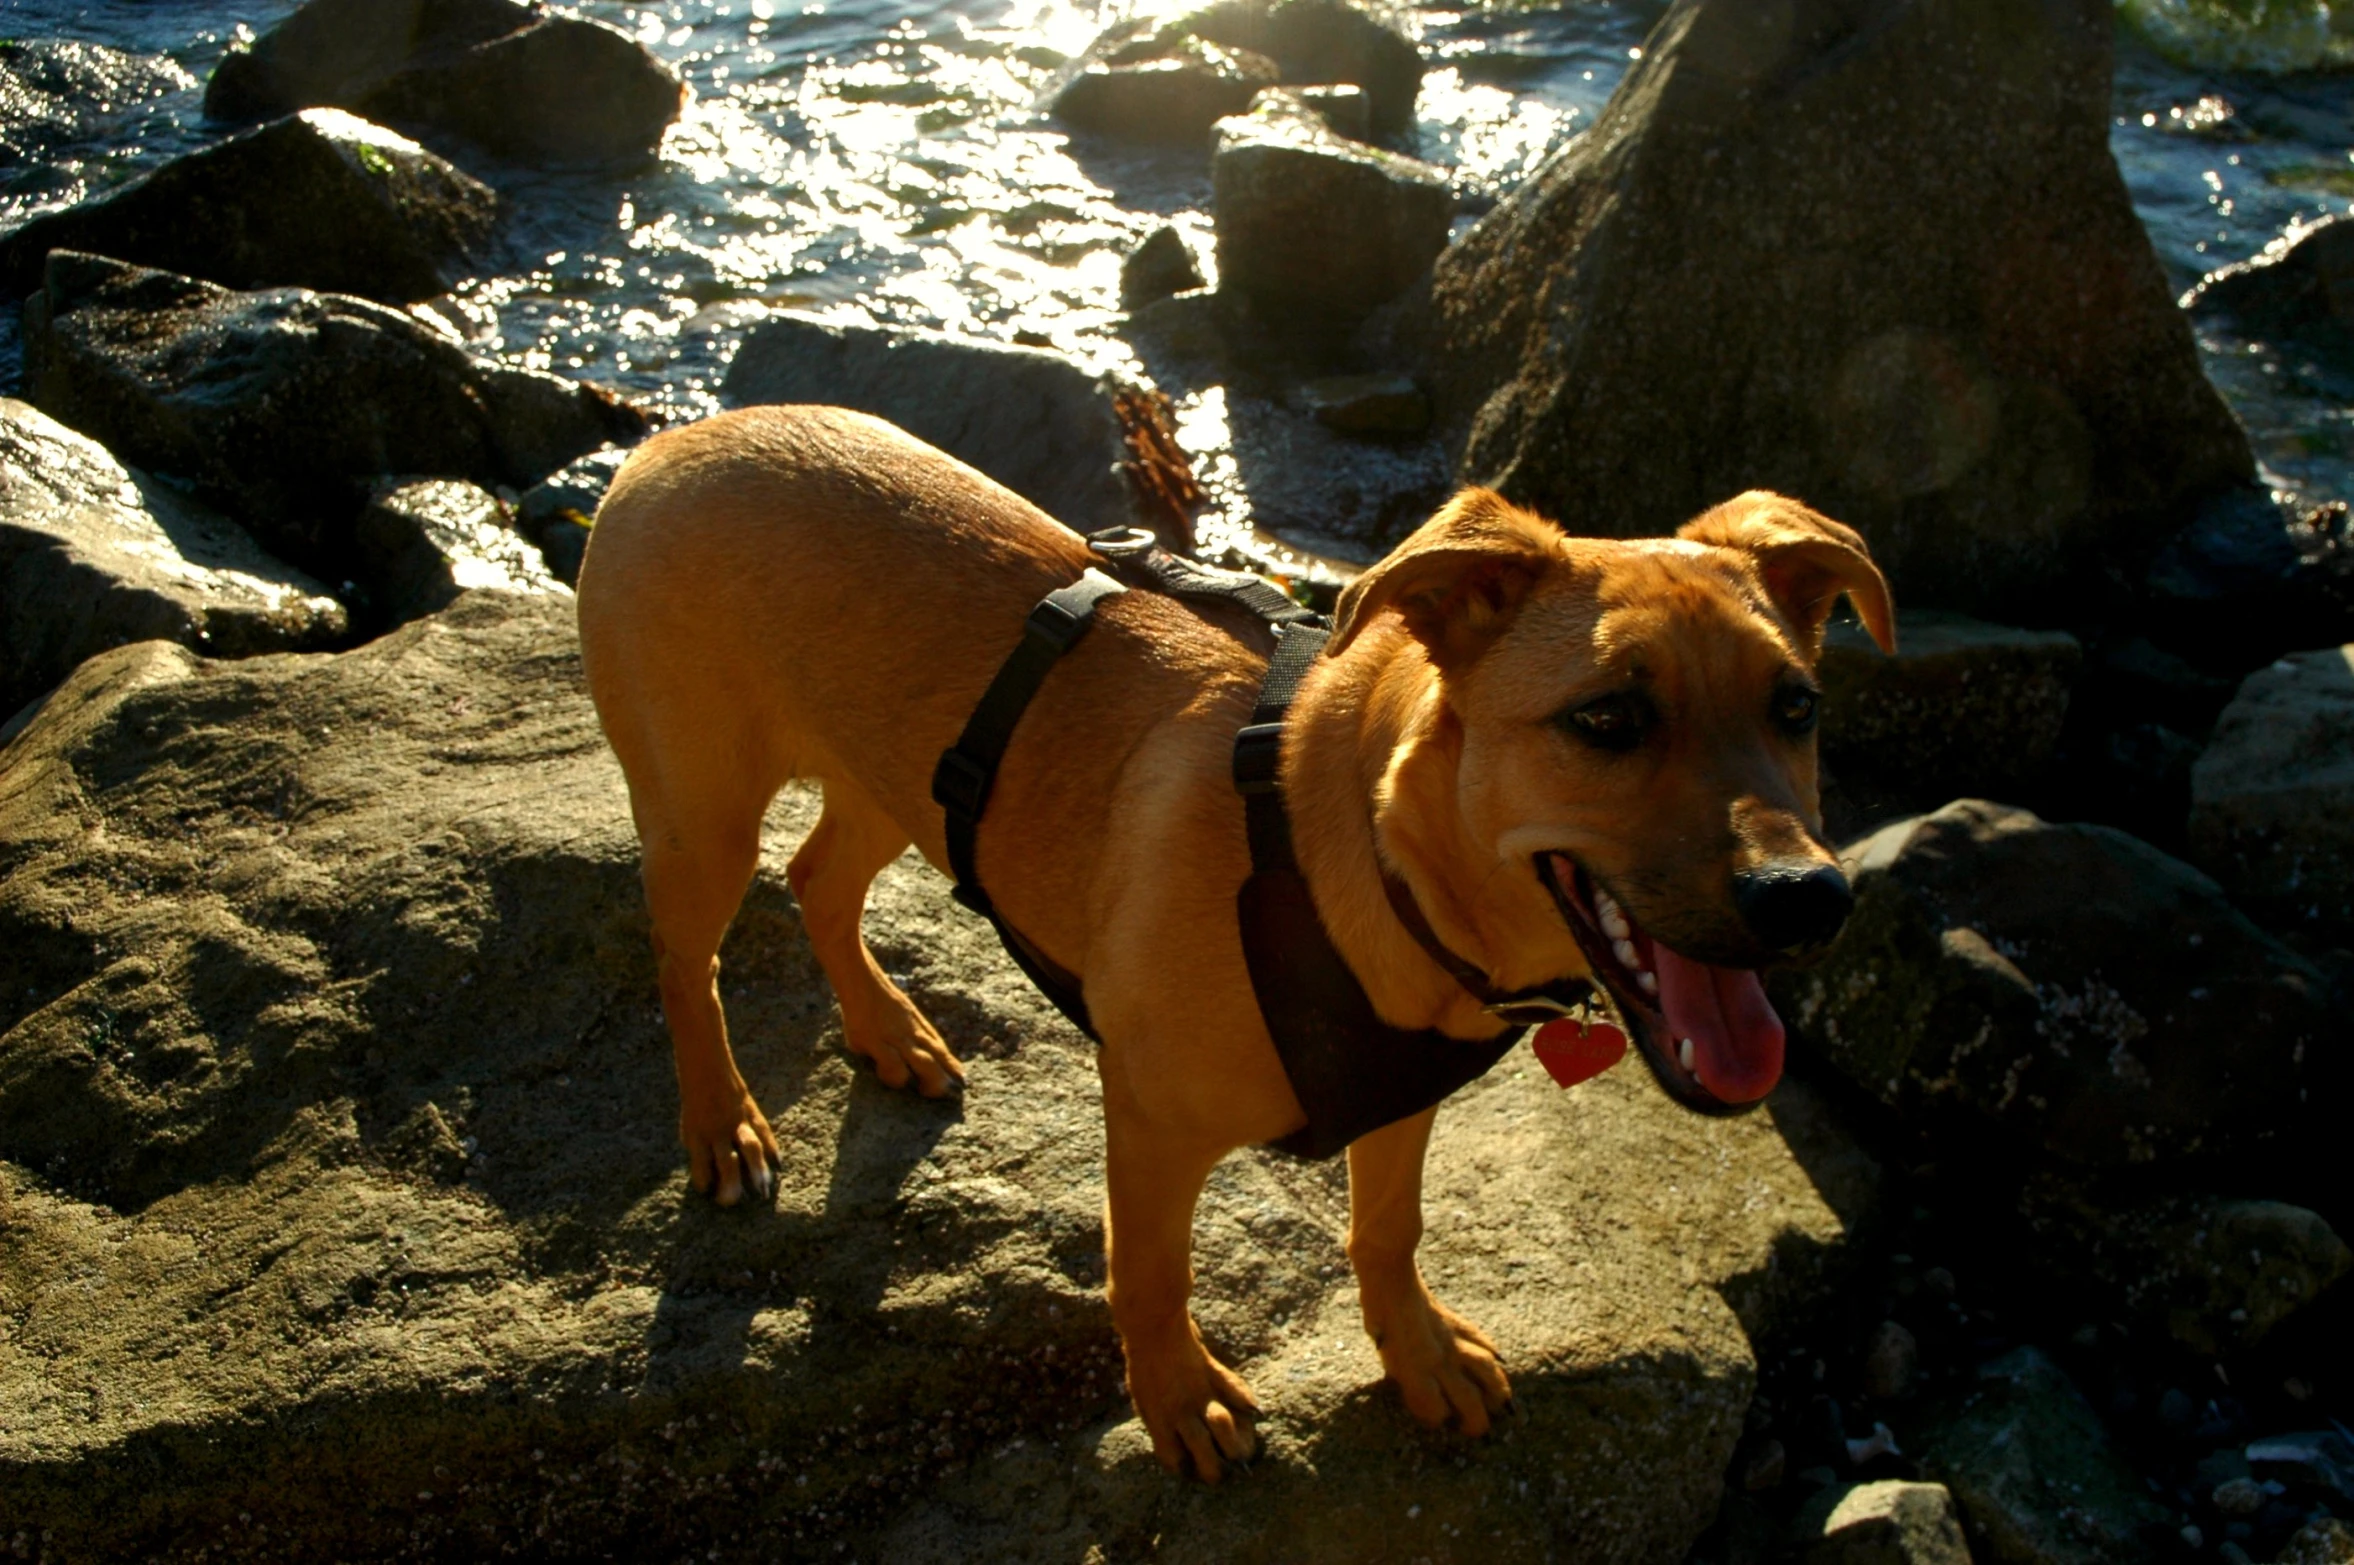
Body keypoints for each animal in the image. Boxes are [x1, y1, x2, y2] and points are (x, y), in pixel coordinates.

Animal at [579, 402, 1902, 1477]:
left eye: (1797, 707)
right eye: (1608, 719)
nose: (1806, 897)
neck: (1357, 844)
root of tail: (676, 437)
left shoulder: (1397, 1092)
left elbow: (1387, 1228)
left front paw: (1417, 1352)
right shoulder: (1152, 1118)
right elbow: (1150, 1273)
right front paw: (1179, 1399)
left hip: (891, 772)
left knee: (818, 879)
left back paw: (887, 1031)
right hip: (702, 808)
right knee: (687, 960)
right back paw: (723, 1122)